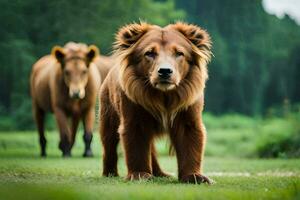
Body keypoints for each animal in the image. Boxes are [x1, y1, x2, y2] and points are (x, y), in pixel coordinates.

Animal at [99, 22, 212, 184]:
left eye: (179, 53)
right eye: (149, 53)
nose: (165, 71)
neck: (163, 95)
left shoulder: (187, 107)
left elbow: (190, 136)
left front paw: (195, 176)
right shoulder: (134, 107)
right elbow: (136, 140)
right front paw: (140, 174)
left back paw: (161, 173)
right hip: (108, 107)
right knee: (108, 140)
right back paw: (110, 173)